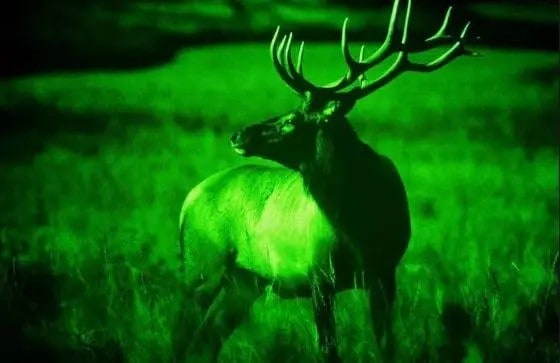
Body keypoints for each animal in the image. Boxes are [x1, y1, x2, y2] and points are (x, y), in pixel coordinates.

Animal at [172, 1, 476, 362]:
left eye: (291, 119)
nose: (238, 135)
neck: (360, 227)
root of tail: (189, 198)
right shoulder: (318, 274)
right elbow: (328, 349)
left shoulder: (385, 273)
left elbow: (385, 344)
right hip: (201, 268)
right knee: (181, 334)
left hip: (245, 281)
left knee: (208, 339)